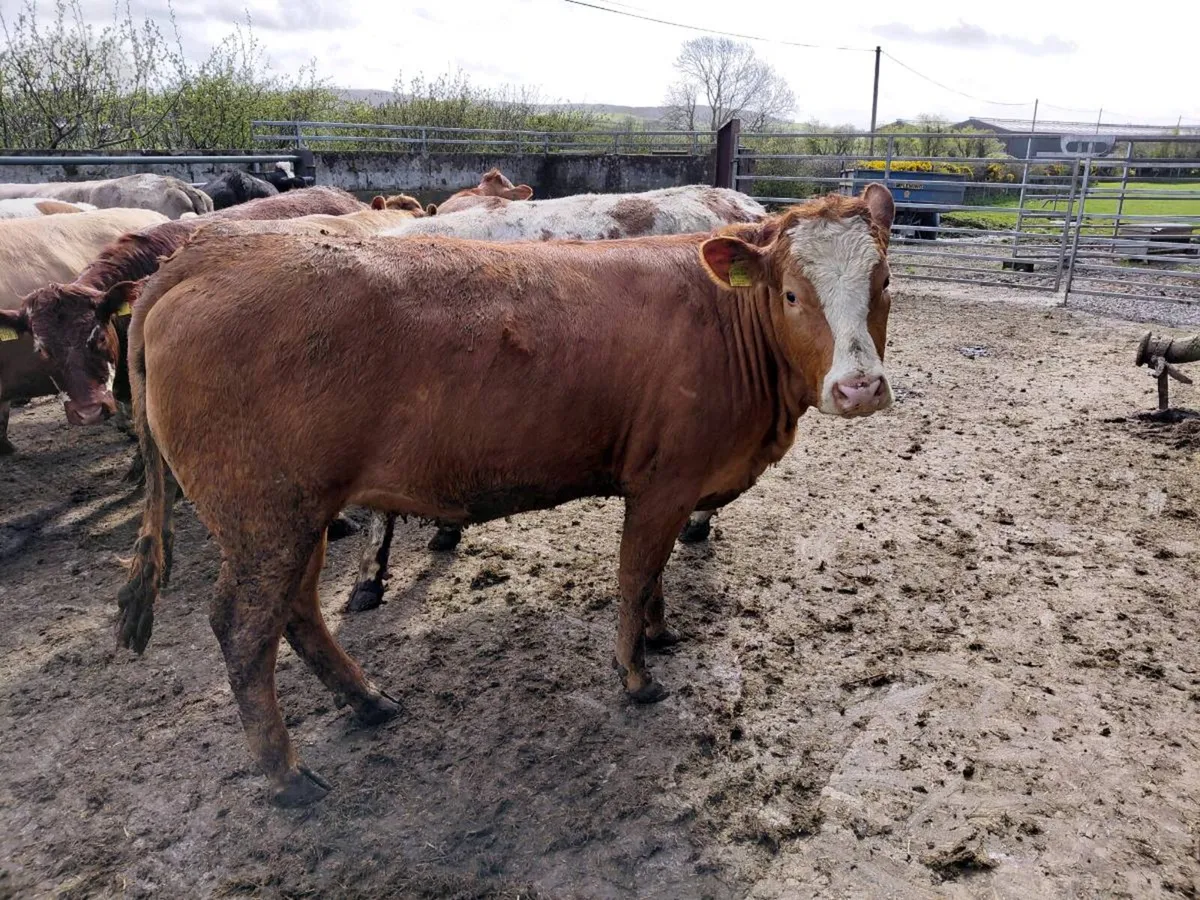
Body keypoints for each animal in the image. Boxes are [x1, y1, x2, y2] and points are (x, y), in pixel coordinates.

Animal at [114, 185, 896, 806]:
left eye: (883, 282)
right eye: (792, 293)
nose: (859, 388)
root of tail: (205, 255)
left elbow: (657, 575)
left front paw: (660, 632)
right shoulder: (664, 482)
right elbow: (636, 573)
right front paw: (636, 673)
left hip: (299, 514)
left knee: (298, 611)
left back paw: (366, 701)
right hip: (264, 516)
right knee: (245, 631)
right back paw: (286, 775)